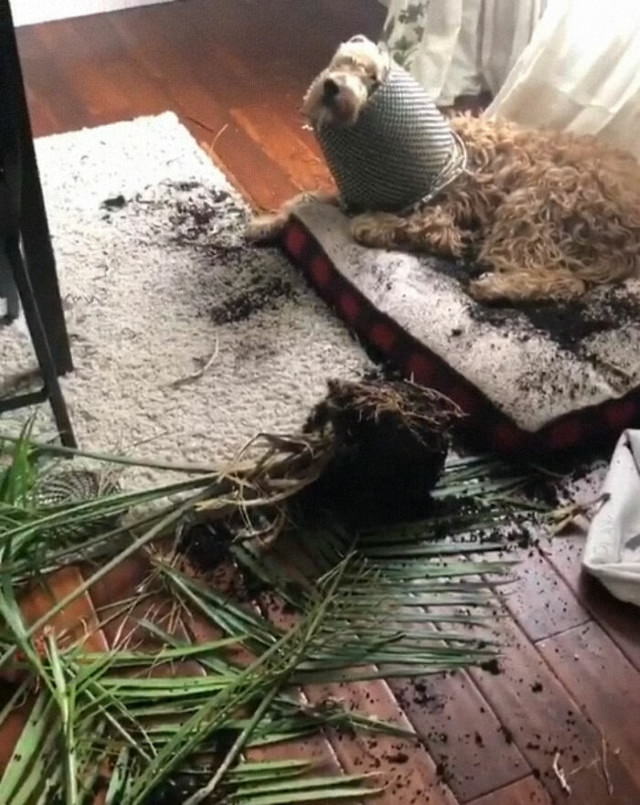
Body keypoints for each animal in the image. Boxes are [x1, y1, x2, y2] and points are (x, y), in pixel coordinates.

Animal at [246, 34, 640, 304]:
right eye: (343, 63)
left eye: (374, 80)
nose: (331, 86)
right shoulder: (348, 196)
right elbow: (303, 199)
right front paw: (267, 222)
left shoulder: (442, 221)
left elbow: (409, 226)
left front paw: (374, 225)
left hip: (537, 201)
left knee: (566, 281)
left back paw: (496, 286)